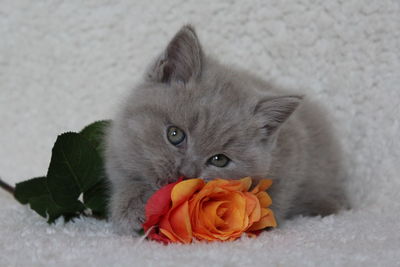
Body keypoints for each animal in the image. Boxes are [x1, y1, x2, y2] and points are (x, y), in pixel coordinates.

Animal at [104, 24, 348, 234]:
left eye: (219, 160)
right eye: (175, 134)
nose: (186, 173)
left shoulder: (293, 153)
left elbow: (276, 197)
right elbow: (128, 180)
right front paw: (132, 208)